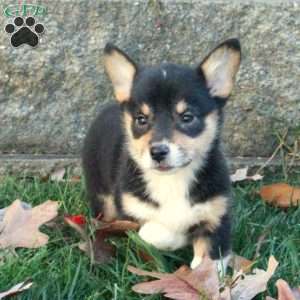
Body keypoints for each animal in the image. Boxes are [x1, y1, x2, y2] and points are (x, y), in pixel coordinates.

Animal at [82, 39, 241, 270]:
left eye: (187, 117)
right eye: (141, 119)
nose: (158, 152)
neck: (172, 180)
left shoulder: (216, 216)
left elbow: (209, 263)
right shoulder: (130, 212)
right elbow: (152, 232)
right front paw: (173, 237)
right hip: (103, 199)